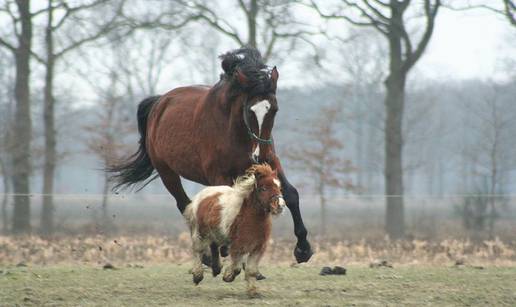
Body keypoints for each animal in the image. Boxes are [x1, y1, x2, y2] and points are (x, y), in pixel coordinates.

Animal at [107, 47, 312, 266]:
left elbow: (291, 194)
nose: (259, 155)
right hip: (167, 173)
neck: (236, 132)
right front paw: (226, 248)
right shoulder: (219, 175)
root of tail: (159, 103)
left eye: (274, 109)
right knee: (185, 205)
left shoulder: (271, 165)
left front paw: (303, 249)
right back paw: (207, 253)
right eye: (250, 110)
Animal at [183, 164, 284, 296]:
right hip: (200, 233)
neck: (249, 217)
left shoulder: (258, 248)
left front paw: (252, 291)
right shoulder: (238, 246)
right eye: (263, 188)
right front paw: (228, 276)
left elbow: (251, 270)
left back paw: (216, 269)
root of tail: (200, 196)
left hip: (215, 233)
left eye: (279, 187)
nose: (280, 205)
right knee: (198, 251)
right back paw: (198, 275)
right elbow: (236, 268)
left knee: (213, 246)